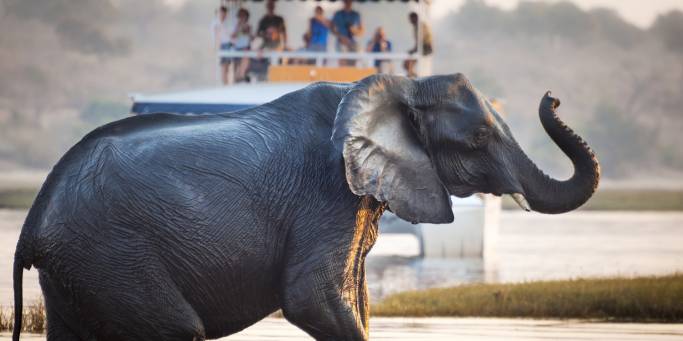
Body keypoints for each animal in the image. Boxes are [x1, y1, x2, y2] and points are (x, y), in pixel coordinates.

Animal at [10, 73, 600, 338]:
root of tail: (32, 223)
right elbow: (311, 300)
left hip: (81, 268)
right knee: (176, 330)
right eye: (478, 138)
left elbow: (355, 298)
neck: (401, 86)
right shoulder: (325, 195)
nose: (553, 97)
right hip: (114, 254)